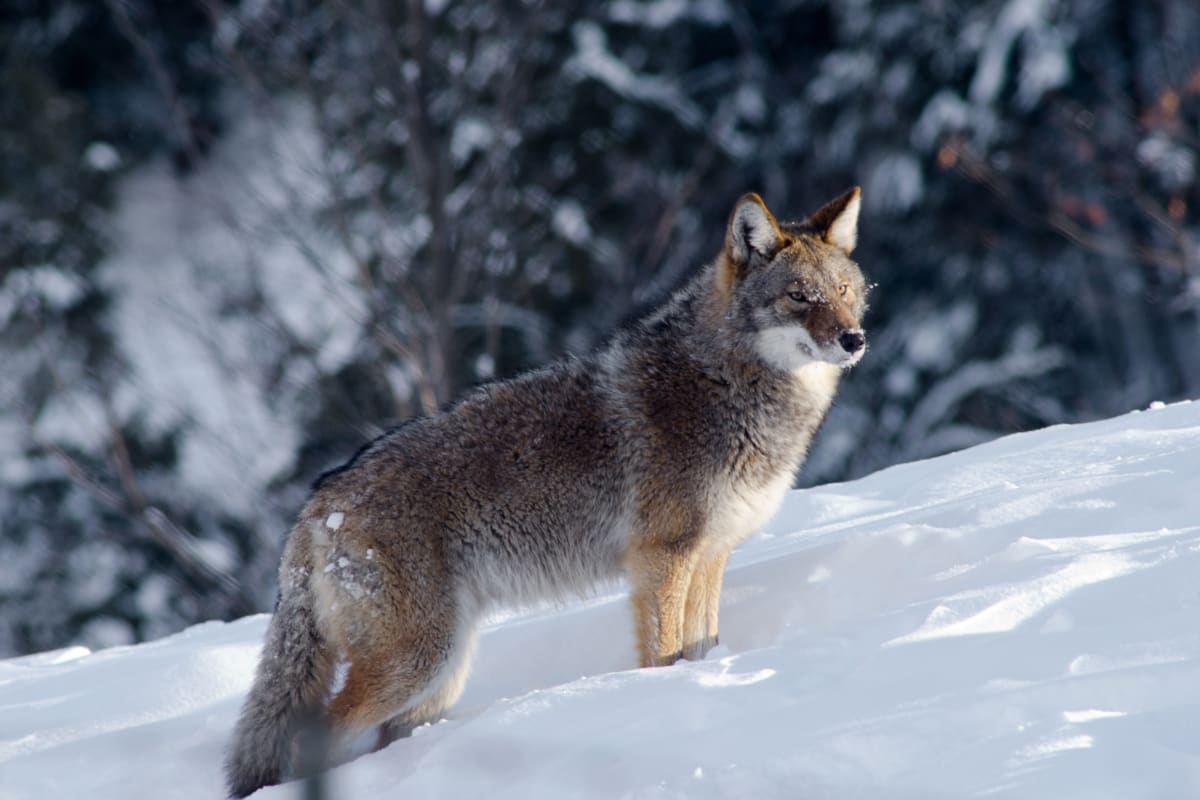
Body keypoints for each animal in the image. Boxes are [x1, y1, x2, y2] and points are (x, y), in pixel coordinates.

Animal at [225, 188, 869, 797]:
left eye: (842, 290)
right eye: (799, 297)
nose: (854, 338)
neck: (726, 383)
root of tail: (318, 501)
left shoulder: (711, 554)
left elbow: (703, 645)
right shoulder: (662, 559)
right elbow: (662, 652)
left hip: (439, 677)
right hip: (416, 663)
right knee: (316, 738)